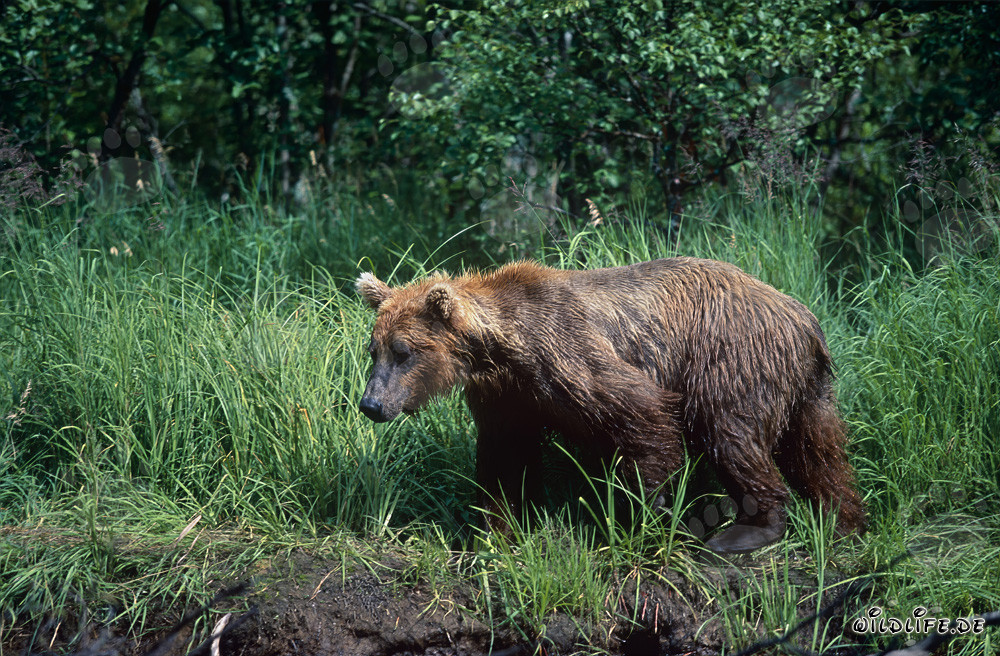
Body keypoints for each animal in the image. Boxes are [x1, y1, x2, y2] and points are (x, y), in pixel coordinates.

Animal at [356, 258, 866, 553]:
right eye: (373, 349)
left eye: (403, 351)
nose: (371, 404)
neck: (503, 346)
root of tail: (804, 317)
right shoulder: (509, 396)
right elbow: (504, 458)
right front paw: (496, 528)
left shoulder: (569, 355)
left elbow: (644, 417)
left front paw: (641, 516)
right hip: (804, 384)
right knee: (818, 450)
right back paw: (843, 520)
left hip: (730, 356)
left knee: (731, 433)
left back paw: (746, 530)